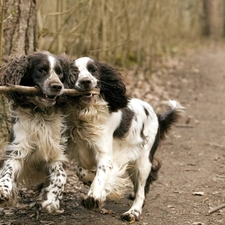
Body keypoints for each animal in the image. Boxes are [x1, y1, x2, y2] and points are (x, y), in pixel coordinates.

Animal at [0, 51, 67, 214]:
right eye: (41, 70)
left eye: (60, 72)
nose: (57, 86)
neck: (40, 114)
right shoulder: (17, 148)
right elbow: (7, 169)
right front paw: (3, 190)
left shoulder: (55, 152)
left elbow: (60, 175)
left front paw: (51, 201)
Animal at [61, 56, 185, 221]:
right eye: (74, 72)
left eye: (93, 70)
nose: (85, 81)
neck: (88, 113)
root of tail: (157, 115)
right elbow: (81, 171)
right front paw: (94, 181)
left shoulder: (105, 154)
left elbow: (101, 175)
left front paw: (94, 197)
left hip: (144, 160)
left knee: (141, 189)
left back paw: (133, 212)